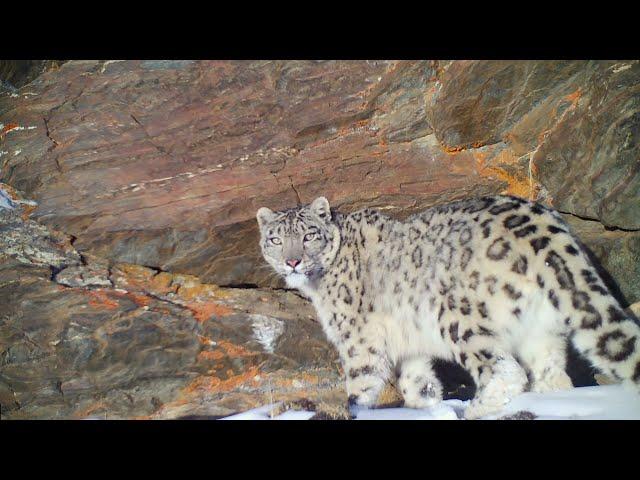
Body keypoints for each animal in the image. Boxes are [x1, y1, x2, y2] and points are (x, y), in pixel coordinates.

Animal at [255, 197, 640, 418]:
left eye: (309, 235)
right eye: (275, 239)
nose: (292, 261)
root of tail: (545, 225)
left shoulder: (358, 340)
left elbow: (361, 383)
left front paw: (355, 406)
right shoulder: (410, 348)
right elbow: (417, 382)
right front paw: (429, 406)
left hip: (456, 315)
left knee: (505, 369)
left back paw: (479, 409)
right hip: (540, 328)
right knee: (552, 374)